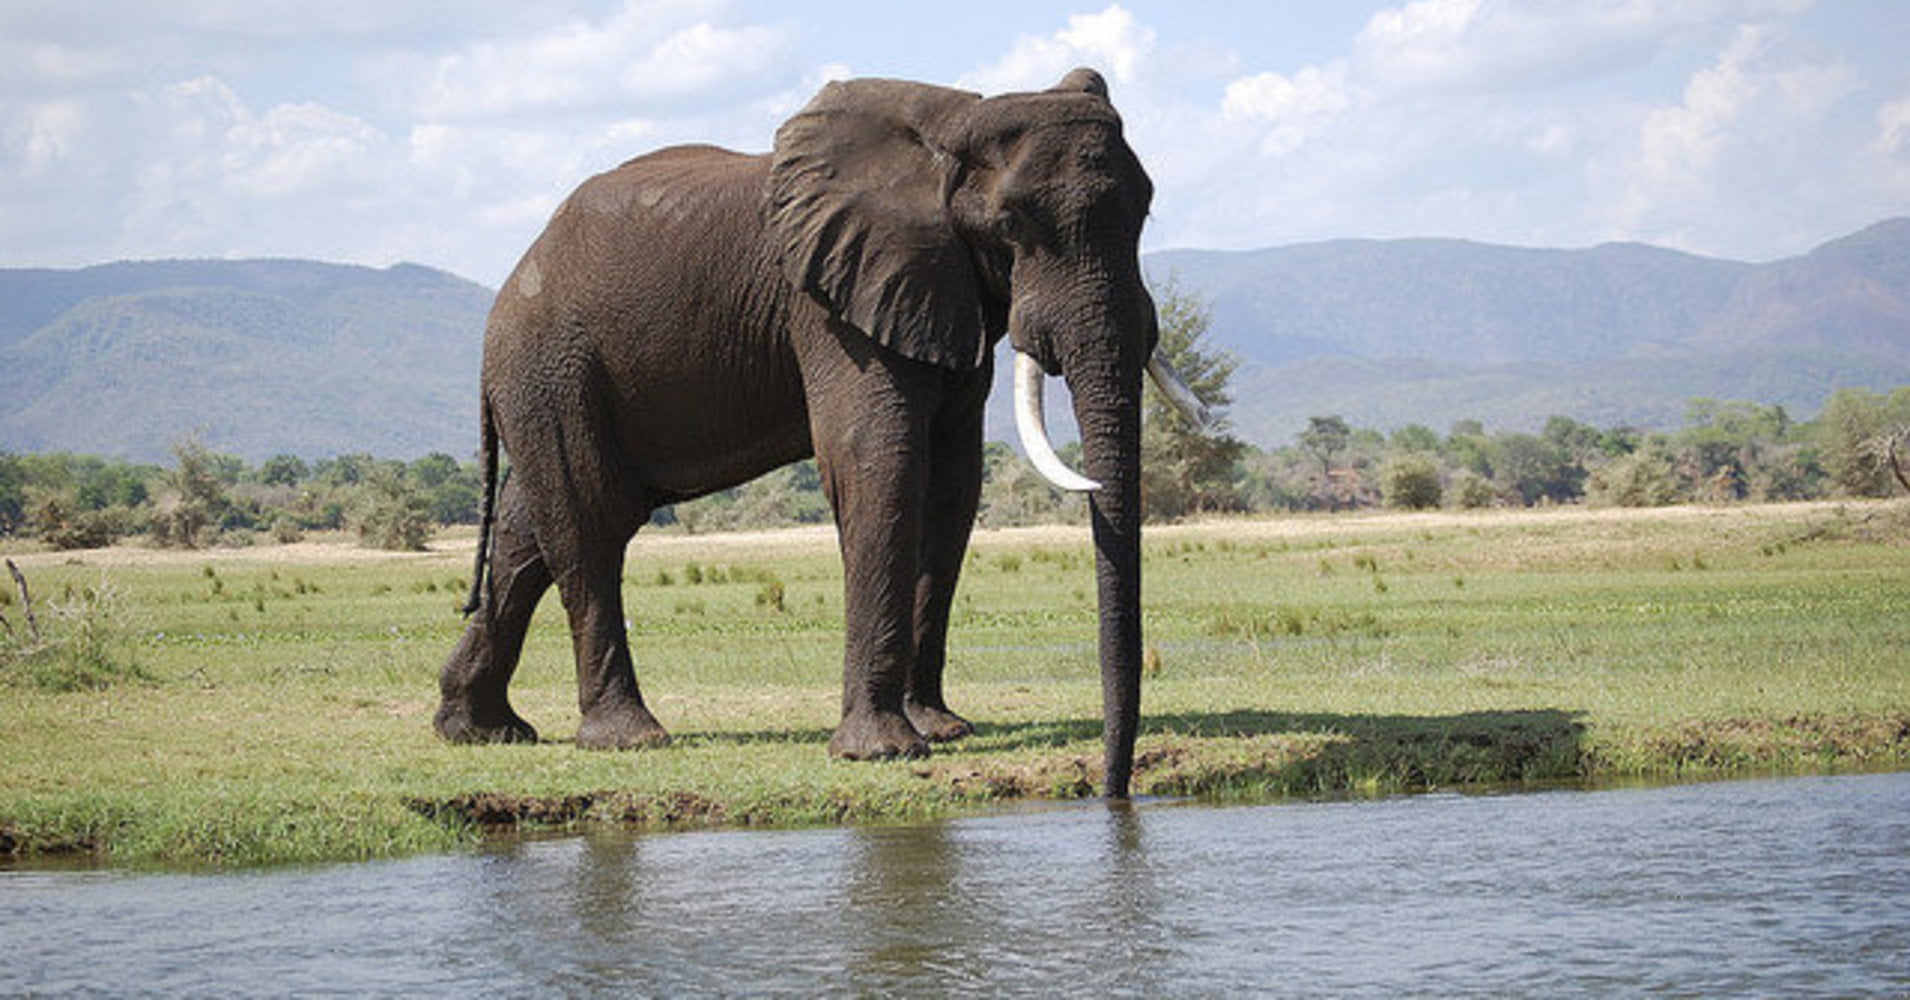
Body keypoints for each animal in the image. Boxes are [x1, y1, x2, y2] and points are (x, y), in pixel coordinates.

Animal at [433, 67, 1206, 797]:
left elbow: (952, 485)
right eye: (1012, 222)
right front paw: (883, 751)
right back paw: (629, 739)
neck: (955, 121)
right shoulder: (831, 304)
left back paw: (479, 730)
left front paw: (943, 731)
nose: (1111, 790)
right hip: (550, 364)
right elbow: (878, 462)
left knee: (532, 528)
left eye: (1146, 209)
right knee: (590, 517)